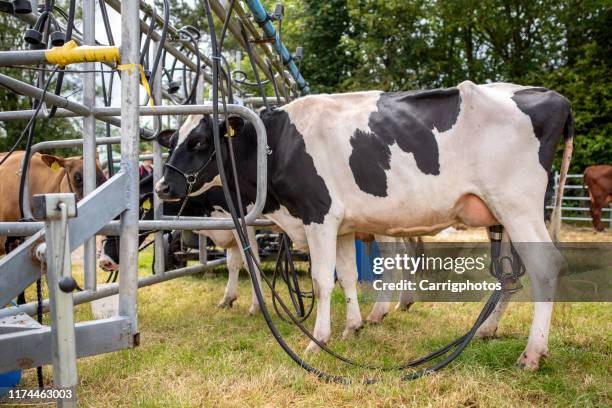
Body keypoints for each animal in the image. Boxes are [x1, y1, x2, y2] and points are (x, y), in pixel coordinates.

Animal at [157, 82, 572, 370]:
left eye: (199, 141)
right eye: (172, 139)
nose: (162, 186)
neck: (277, 144)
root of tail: (553, 97)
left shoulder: (319, 216)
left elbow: (322, 282)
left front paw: (317, 341)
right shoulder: (342, 226)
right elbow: (347, 276)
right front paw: (352, 327)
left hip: (517, 206)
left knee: (546, 267)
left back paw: (532, 353)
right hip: (504, 215)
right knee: (512, 275)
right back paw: (487, 331)